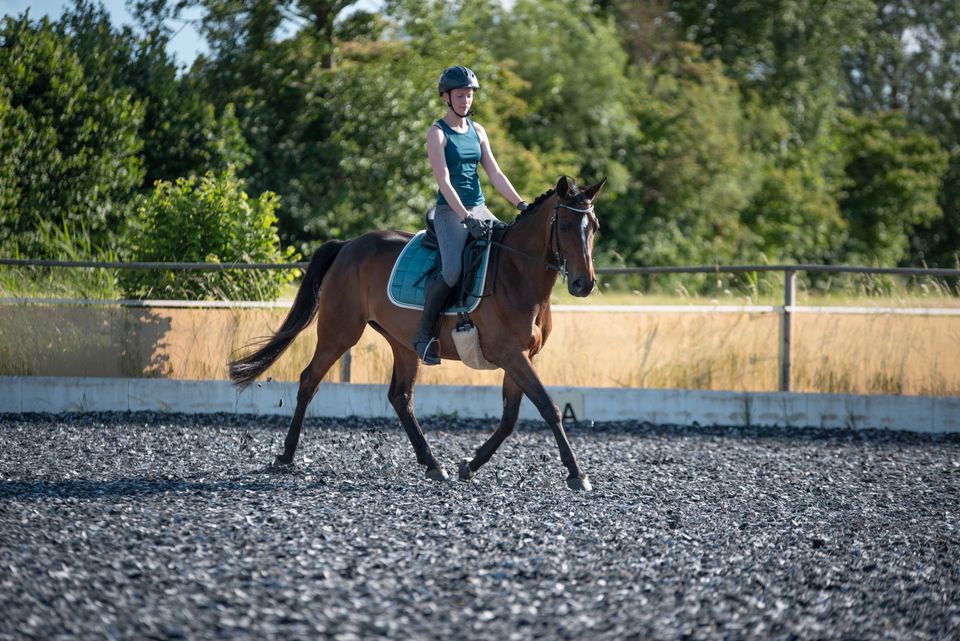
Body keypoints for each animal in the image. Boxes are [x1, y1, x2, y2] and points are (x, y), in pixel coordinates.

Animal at [229, 175, 604, 490]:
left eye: (594, 227)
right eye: (565, 225)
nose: (584, 284)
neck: (517, 272)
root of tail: (349, 245)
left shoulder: (523, 356)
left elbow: (511, 418)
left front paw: (470, 465)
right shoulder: (511, 354)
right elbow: (548, 407)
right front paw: (577, 474)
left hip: (404, 344)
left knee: (400, 397)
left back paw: (432, 463)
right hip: (339, 332)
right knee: (309, 380)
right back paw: (285, 455)